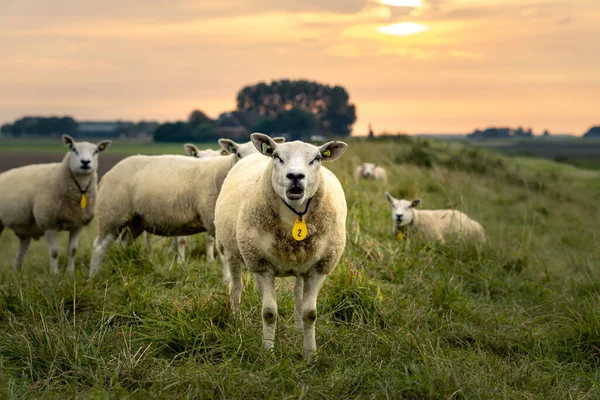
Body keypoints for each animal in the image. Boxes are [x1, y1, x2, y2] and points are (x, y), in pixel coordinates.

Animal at [0, 136, 111, 274]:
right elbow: (54, 253)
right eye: (74, 149)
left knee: (21, 253)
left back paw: (17, 273)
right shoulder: (49, 223)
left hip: (24, 229)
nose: (85, 162)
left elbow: (72, 251)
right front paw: (54, 274)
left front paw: (70, 273)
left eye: (96, 151)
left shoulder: (78, 225)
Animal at [214, 132, 346, 360]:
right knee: (236, 289)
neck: (295, 216)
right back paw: (237, 323)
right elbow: (269, 313)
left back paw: (299, 328)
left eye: (317, 158)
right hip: (230, 251)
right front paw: (268, 352)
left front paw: (310, 354)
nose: (295, 176)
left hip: (302, 262)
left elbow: (310, 314)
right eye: (277, 156)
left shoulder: (320, 267)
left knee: (298, 294)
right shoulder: (260, 264)